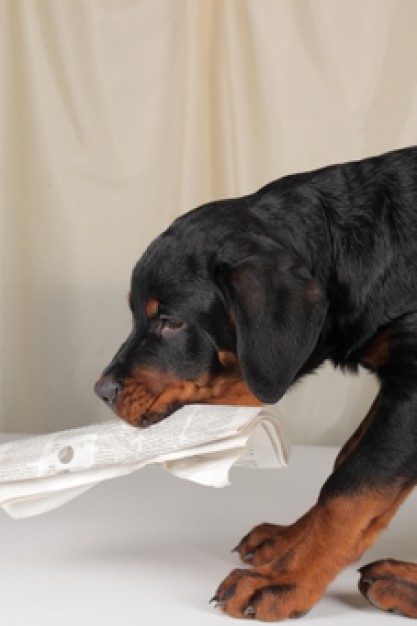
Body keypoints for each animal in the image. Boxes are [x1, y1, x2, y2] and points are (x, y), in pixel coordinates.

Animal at [94, 147, 416, 620]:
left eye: (170, 321)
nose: (101, 391)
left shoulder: (411, 389)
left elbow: (352, 488)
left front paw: (285, 581)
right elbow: (346, 462)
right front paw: (291, 540)